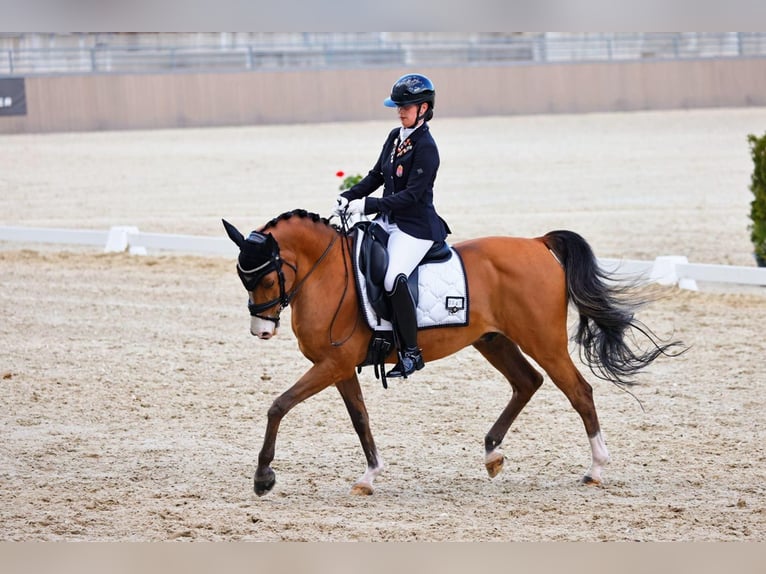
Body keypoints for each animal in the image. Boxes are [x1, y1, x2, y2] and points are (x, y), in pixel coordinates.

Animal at [222, 209, 683, 497]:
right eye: (243, 279)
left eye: (266, 279)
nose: (261, 331)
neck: (331, 275)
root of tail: (537, 243)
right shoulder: (341, 367)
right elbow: (360, 420)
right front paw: (369, 477)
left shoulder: (331, 364)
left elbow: (279, 405)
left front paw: (263, 477)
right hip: (493, 340)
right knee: (526, 382)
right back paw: (493, 454)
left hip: (544, 342)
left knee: (579, 392)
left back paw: (596, 469)